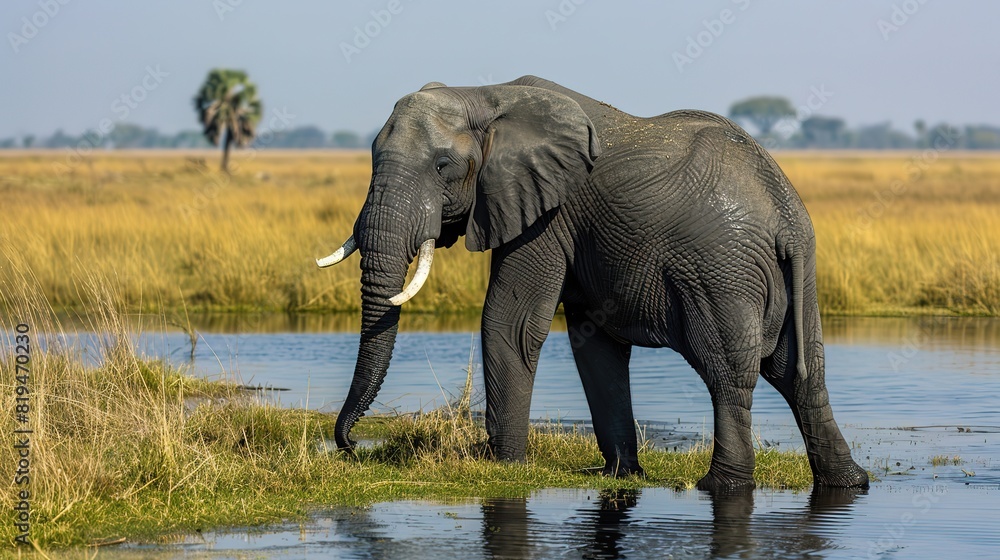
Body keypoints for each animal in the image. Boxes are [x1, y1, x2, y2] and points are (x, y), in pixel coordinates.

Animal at [316, 75, 868, 492]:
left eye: (443, 167)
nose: (350, 446)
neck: (484, 94)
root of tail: (785, 217)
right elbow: (593, 344)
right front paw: (617, 474)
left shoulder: (547, 212)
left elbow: (510, 322)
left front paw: (503, 466)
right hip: (795, 274)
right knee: (802, 372)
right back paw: (848, 482)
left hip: (720, 273)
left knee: (729, 373)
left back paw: (721, 487)